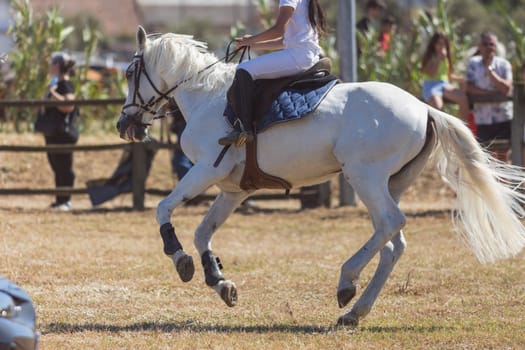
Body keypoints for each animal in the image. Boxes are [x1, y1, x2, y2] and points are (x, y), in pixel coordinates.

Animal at [116, 26, 524, 326]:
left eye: (130, 73)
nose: (124, 124)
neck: (207, 96)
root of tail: (423, 108)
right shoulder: (233, 191)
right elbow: (203, 232)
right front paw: (219, 281)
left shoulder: (205, 169)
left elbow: (164, 209)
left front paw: (180, 259)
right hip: (389, 183)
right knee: (392, 243)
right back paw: (354, 311)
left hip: (364, 176)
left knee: (391, 224)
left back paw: (347, 280)